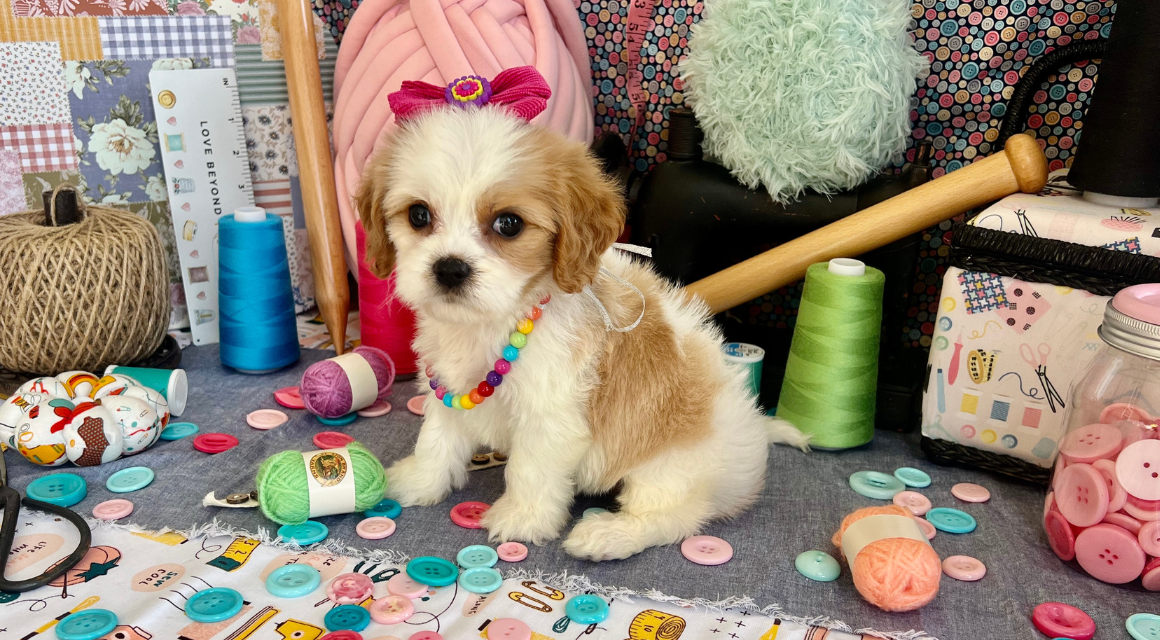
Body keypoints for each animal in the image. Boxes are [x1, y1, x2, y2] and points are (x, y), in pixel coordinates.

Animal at [354, 106, 807, 561]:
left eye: (508, 224)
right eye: (419, 215)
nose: (449, 268)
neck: (492, 323)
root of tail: (752, 434)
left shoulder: (550, 413)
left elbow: (530, 468)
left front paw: (523, 517)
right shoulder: (447, 388)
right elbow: (436, 439)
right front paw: (418, 480)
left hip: (674, 465)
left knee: (671, 517)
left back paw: (609, 534)